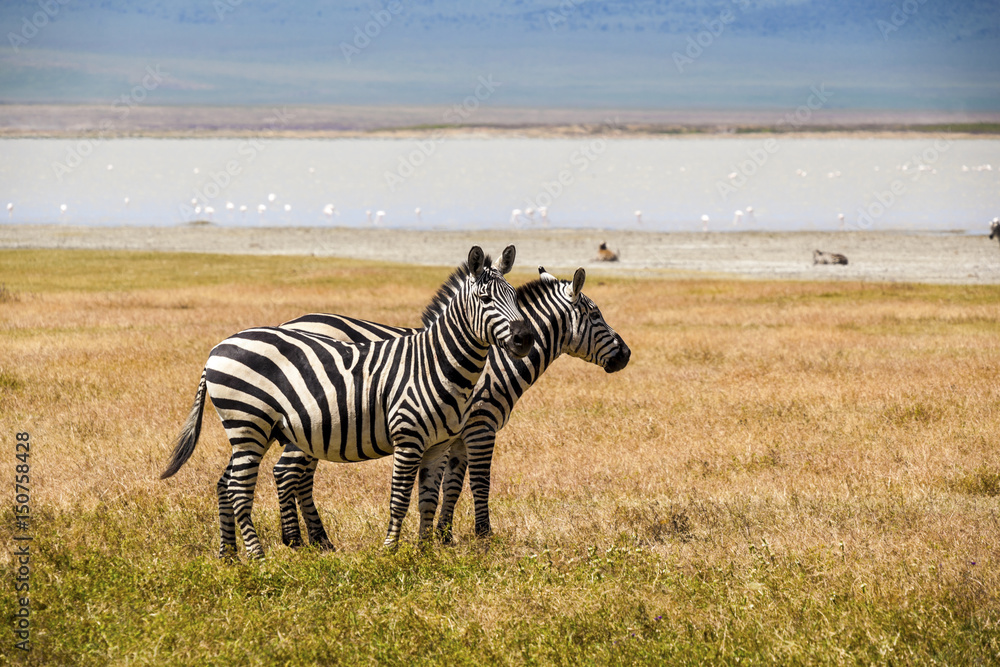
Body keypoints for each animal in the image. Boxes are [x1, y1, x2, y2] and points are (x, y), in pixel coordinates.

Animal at [161, 245, 536, 560]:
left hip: (256, 430)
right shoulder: (411, 438)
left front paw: (426, 550)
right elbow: (400, 497)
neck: (437, 363)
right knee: (240, 487)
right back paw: (258, 556)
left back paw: (229, 555)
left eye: (515, 296)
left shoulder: (438, 444)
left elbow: (428, 499)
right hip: (248, 423)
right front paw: (390, 550)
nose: (524, 338)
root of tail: (218, 348)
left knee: (226, 483)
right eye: (485, 298)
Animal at [272, 264, 632, 552]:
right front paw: (483, 536)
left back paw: (319, 541)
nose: (626, 355)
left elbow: (452, 486)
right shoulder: (481, 426)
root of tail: (288, 324)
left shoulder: (455, 435)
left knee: (300, 476)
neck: (495, 360)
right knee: (286, 471)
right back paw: (298, 541)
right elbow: (480, 482)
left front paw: (444, 536)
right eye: (596, 315)